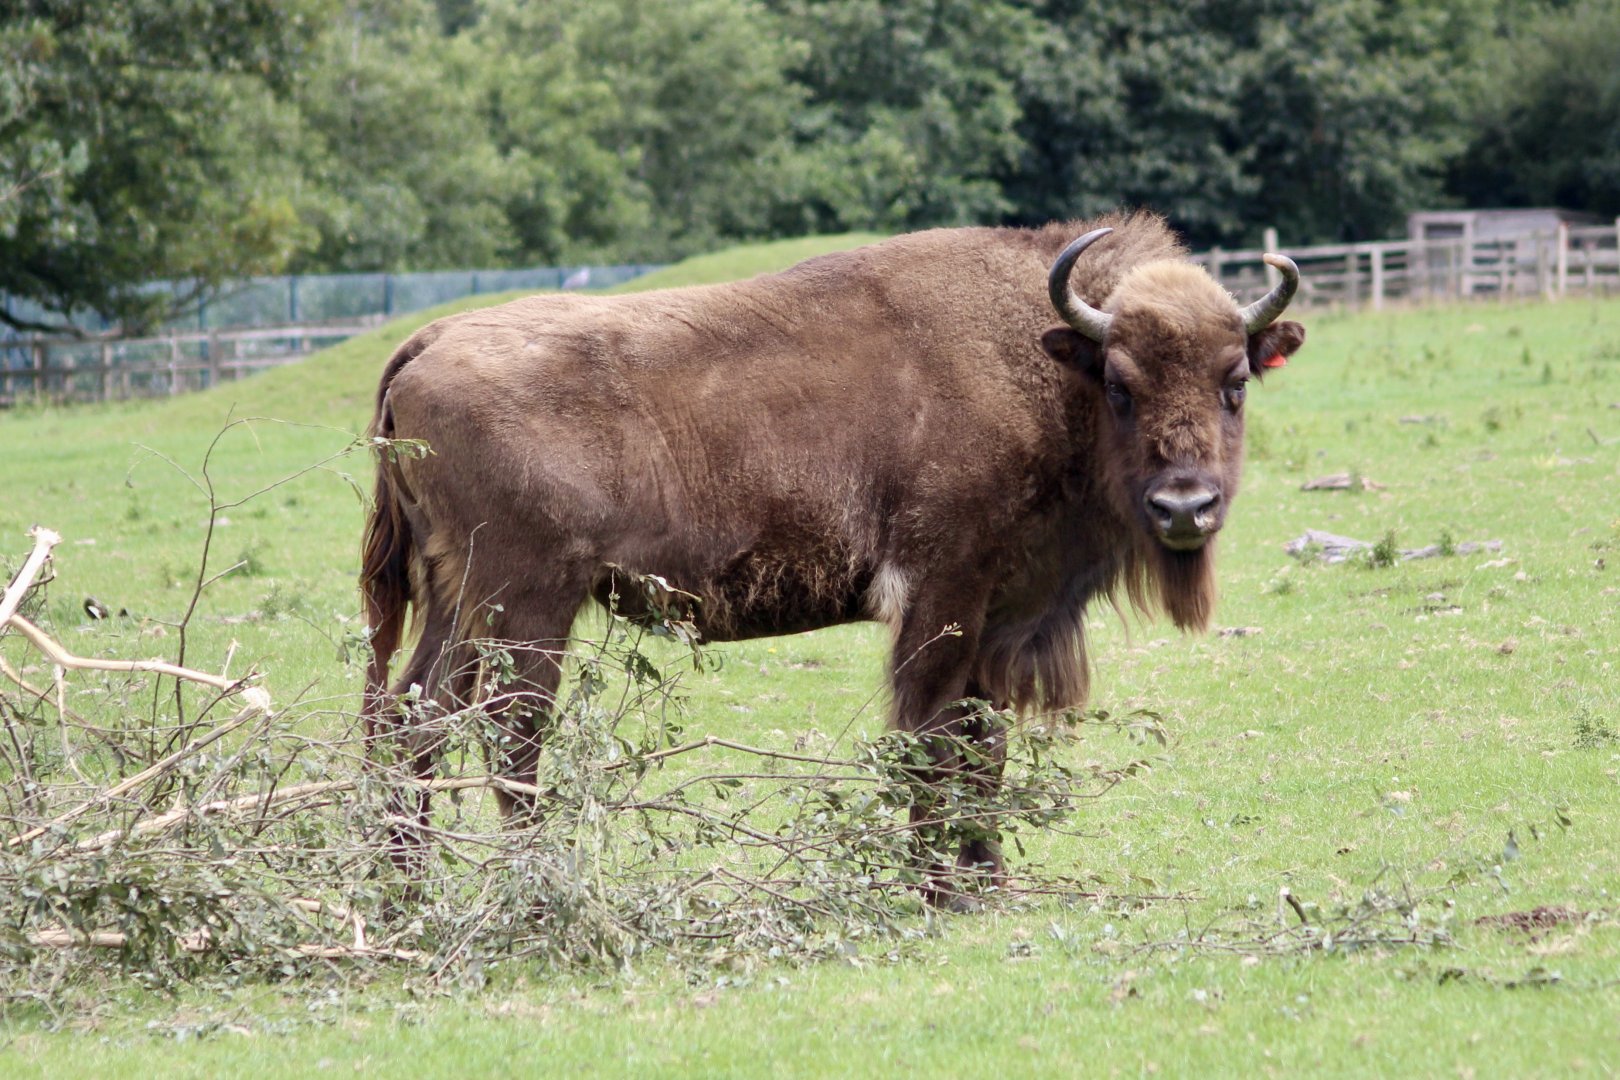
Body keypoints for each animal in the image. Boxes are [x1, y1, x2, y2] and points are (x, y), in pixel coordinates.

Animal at [360, 211, 1304, 901]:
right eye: (1119, 383)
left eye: (1236, 382)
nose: (1183, 506)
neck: (1037, 368)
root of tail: (429, 342)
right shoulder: (941, 597)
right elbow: (931, 738)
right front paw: (936, 888)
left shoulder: (997, 614)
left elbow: (983, 745)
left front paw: (985, 880)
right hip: (527, 605)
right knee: (509, 734)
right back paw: (536, 884)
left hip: (457, 602)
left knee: (411, 717)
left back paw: (401, 886)